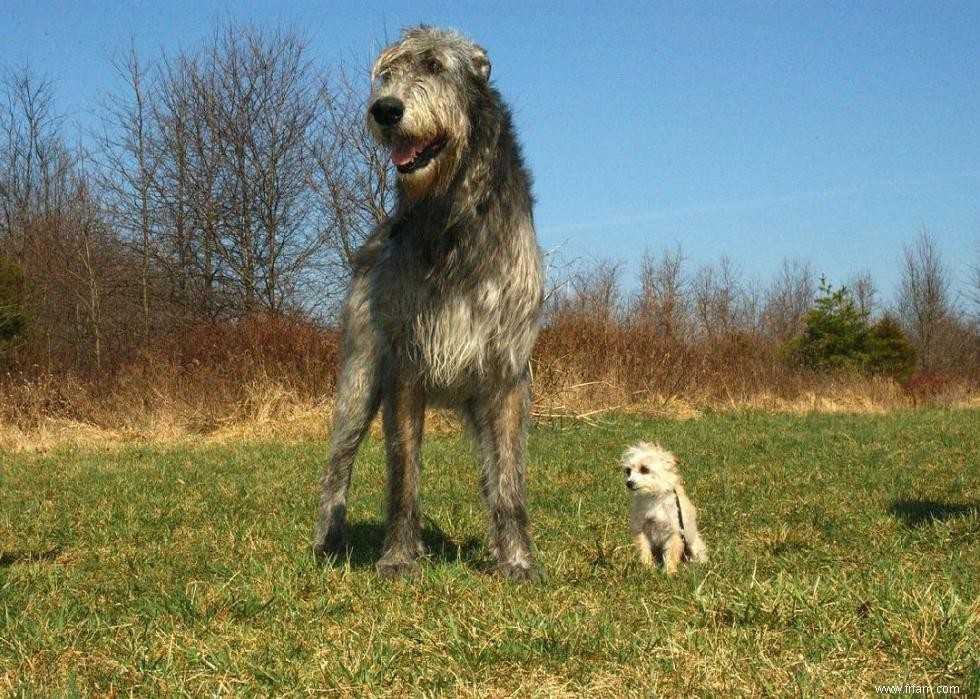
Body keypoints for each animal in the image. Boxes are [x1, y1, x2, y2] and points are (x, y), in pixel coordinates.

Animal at [314, 26, 544, 580]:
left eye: (436, 66)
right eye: (387, 74)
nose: (385, 110)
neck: (451, 216)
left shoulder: (507, 373)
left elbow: (508, 482)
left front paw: (518, 559)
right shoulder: (404, 366)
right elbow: (403, 476)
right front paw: (398, 558)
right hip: (359, 377)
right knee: (338, 464)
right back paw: (328, 541)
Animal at [624, 442, 708, 576]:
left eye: (644, 469)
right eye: (628, 471)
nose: (629, 483)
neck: (654, 497)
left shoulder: (675, 531)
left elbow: (672, 553)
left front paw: (669, 572)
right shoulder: (641, 529)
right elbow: (644, 550)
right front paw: (647, 568)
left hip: (694, 545)